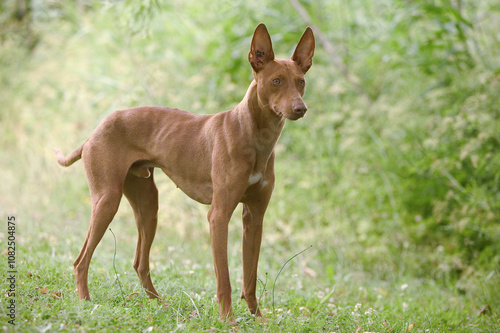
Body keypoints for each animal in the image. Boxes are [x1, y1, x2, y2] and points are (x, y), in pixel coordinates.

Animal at [53, 23, 312, 320]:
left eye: (301, 81)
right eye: (276, 81)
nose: (300, 108)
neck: (254, 136)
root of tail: (95, 130)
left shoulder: (254, 217)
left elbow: (250, 277)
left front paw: (257, 318)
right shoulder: (218, 216)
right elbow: (224, 279)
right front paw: (228, 320)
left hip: (148, 206)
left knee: (139, 262)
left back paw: (160, 305)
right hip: (107, 200)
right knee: (80, 260)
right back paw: (85, 302)